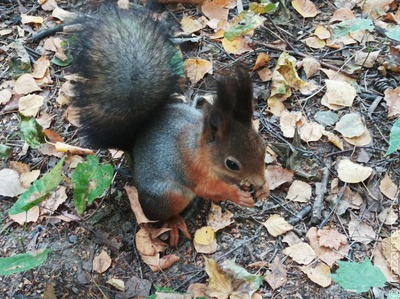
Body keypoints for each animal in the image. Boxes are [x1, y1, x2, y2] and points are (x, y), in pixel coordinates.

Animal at [69, 4, 268, 247]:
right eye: (232, 164)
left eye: (262, 146)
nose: (259, 180)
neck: (200, 149)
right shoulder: (190, 167)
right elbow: (208, 189)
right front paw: (237, 195)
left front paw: (264, 188)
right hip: (168, 194)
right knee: (165, 212)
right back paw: (174, 222)